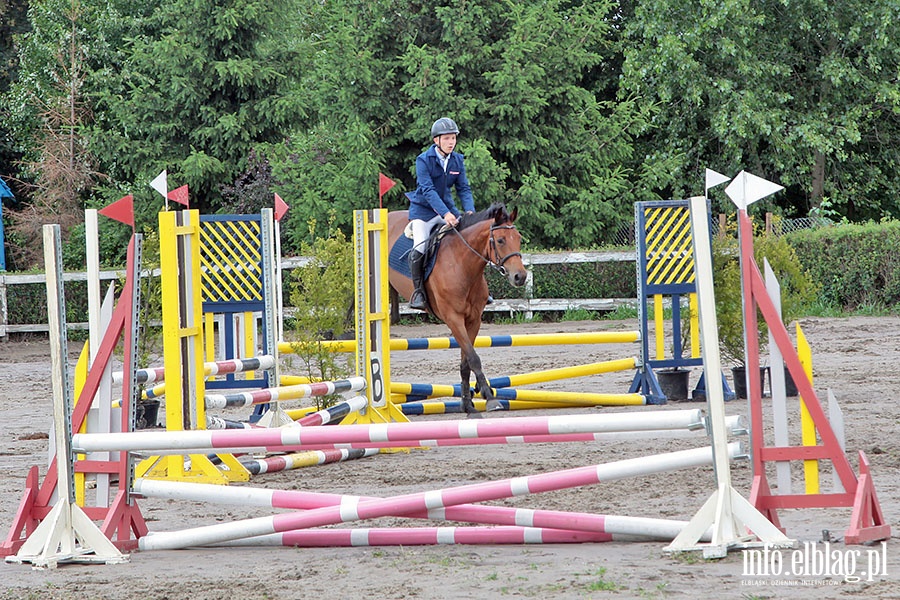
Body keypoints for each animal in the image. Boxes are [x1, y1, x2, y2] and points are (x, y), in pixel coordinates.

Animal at [386, 205, 528, 418]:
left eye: (518, 238)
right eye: (501, 240)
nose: (520, 277)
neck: (462, 265)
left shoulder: (473, 320)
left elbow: (466, 363)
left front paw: (469, 406)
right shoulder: (453, 319)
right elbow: (474, 358)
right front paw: (489, 397)